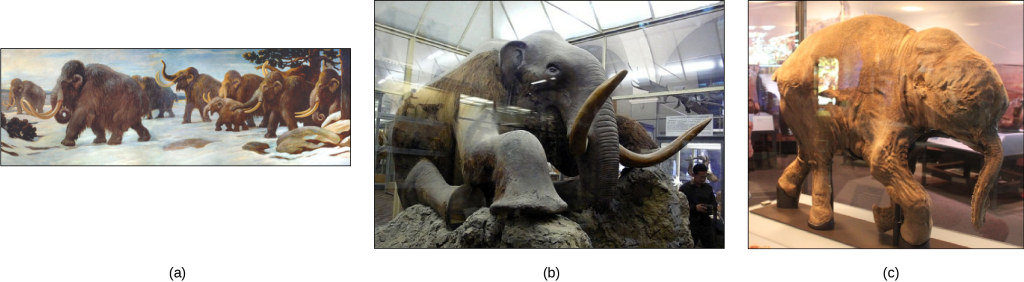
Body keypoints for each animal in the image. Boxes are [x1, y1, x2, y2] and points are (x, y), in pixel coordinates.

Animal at [774, 14, 1007, 248]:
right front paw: (910, 240)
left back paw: (785, 196)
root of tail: (784, 66)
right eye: (959, 107)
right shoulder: (885, 106)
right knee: (821, 155)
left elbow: (906, 164)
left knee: (808, 152)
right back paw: (820, 224)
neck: (912, 51)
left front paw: (887, 222)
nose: (980, 223)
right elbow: (882, 162)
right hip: (800, 94)